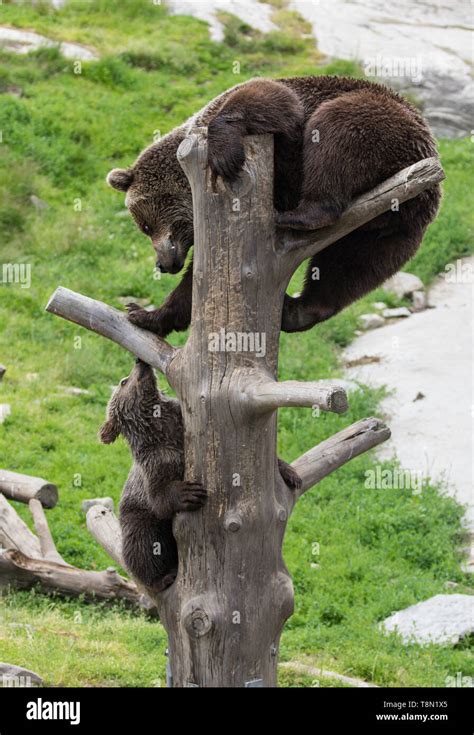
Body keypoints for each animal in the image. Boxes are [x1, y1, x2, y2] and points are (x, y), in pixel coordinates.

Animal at [107, 77, 440, 336]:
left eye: (145, 224)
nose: (162, 263)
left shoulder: (282, 116)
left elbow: (270, 100)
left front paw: (225, 155)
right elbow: (194, 285)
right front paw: (144, 314)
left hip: (378, 124)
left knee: (335, 131)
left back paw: (294, 216)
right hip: (384, 229)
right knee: (350, 266)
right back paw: (297, 310)